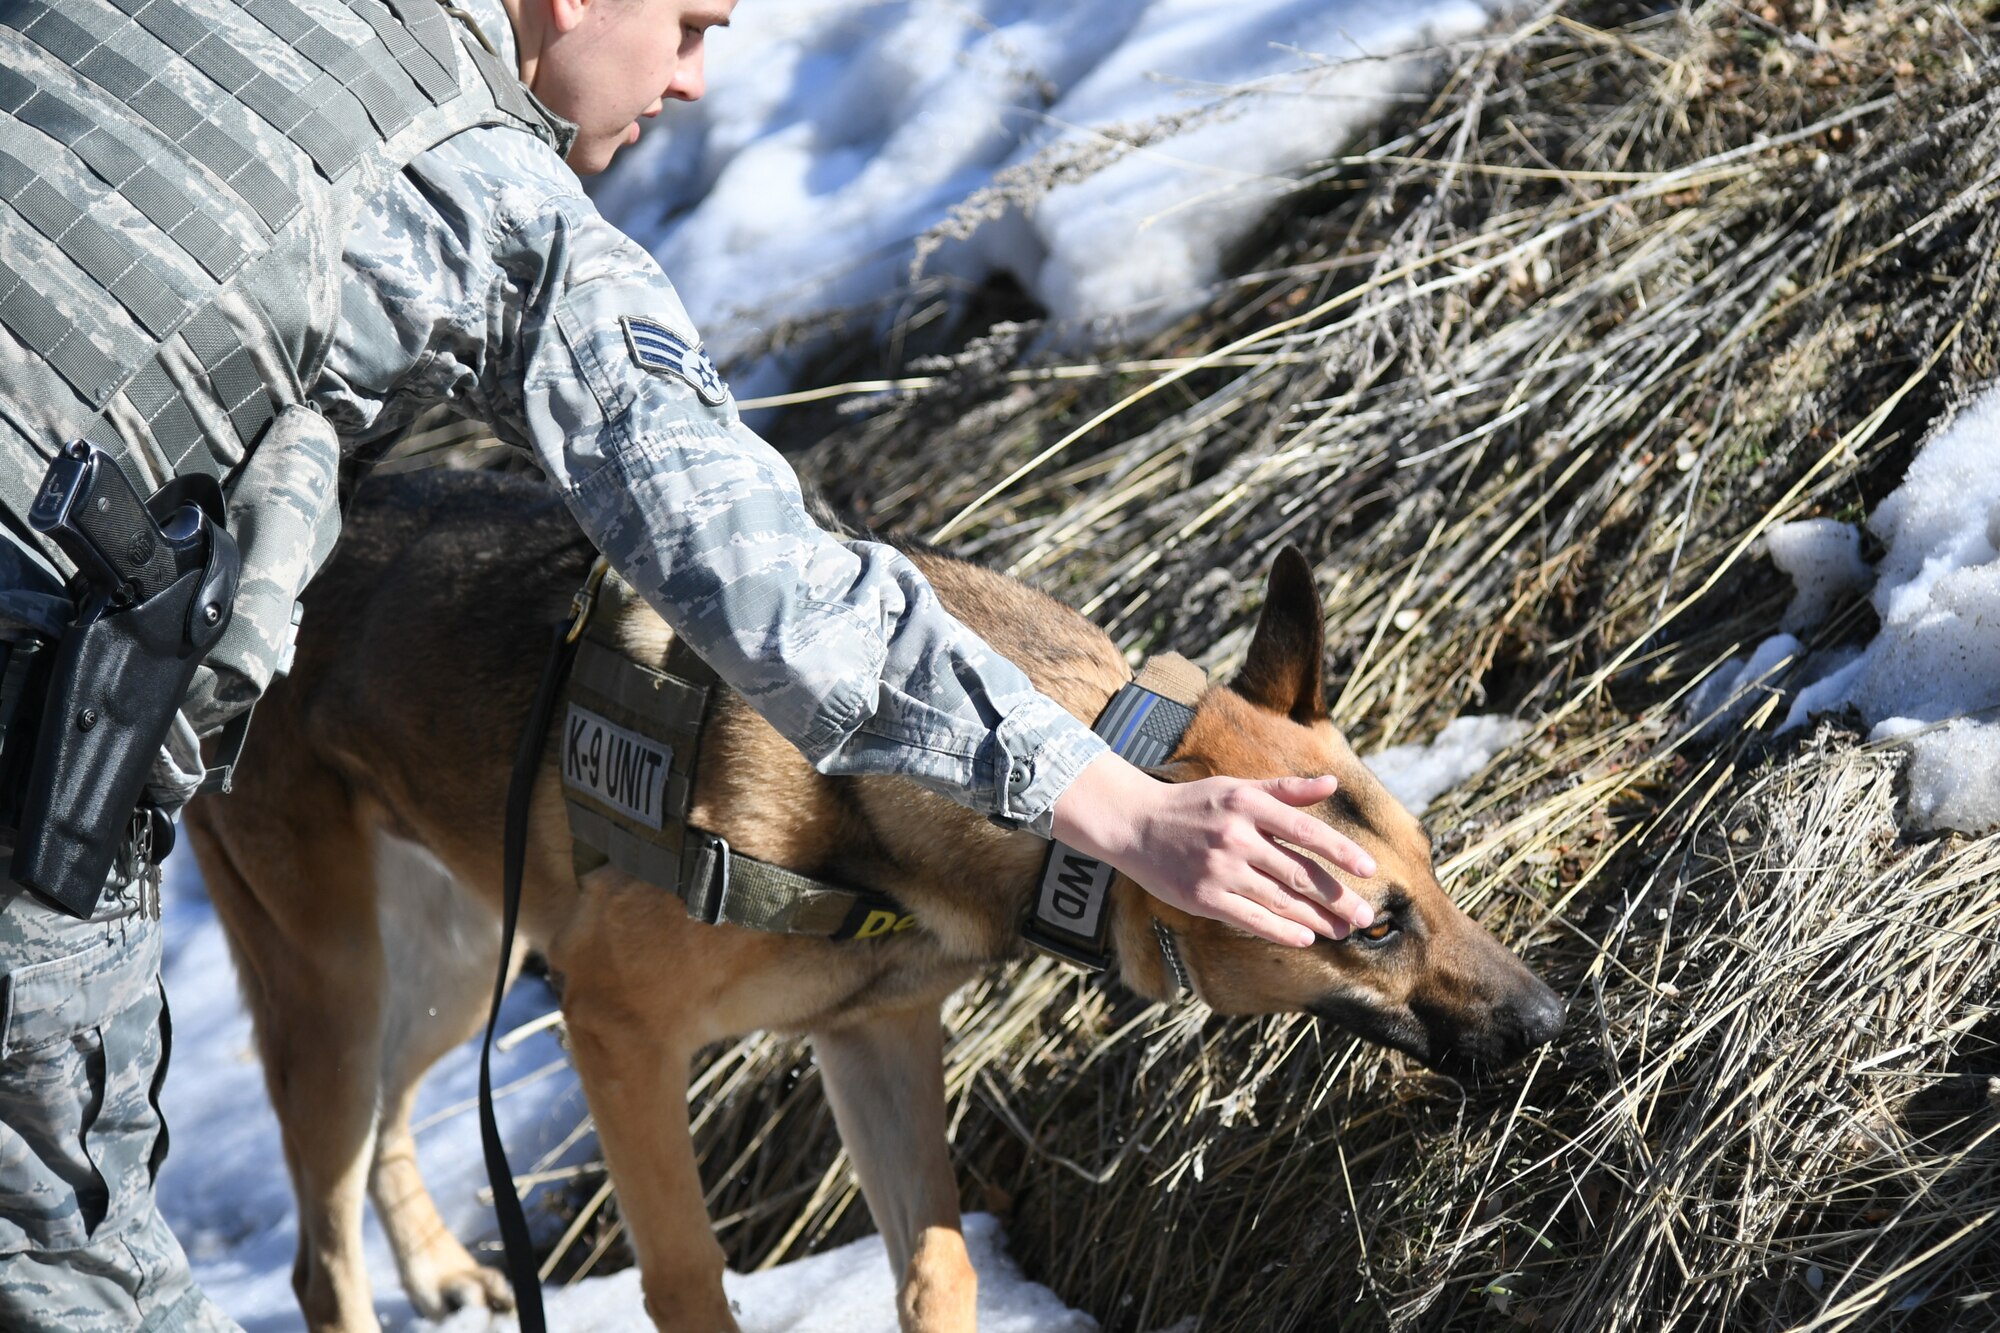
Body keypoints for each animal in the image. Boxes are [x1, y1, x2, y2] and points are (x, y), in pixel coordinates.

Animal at [184, 466, 1560, 1328]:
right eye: (1372, 925)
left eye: (1434, 871)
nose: (1555, 1019)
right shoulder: (616, 1031)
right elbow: (688, 1281)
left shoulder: (874, 1040)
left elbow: (937, 1272)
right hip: (336, 982)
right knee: (317, 1255)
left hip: (463, 956)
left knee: (388, 1118)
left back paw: (433, 1265)